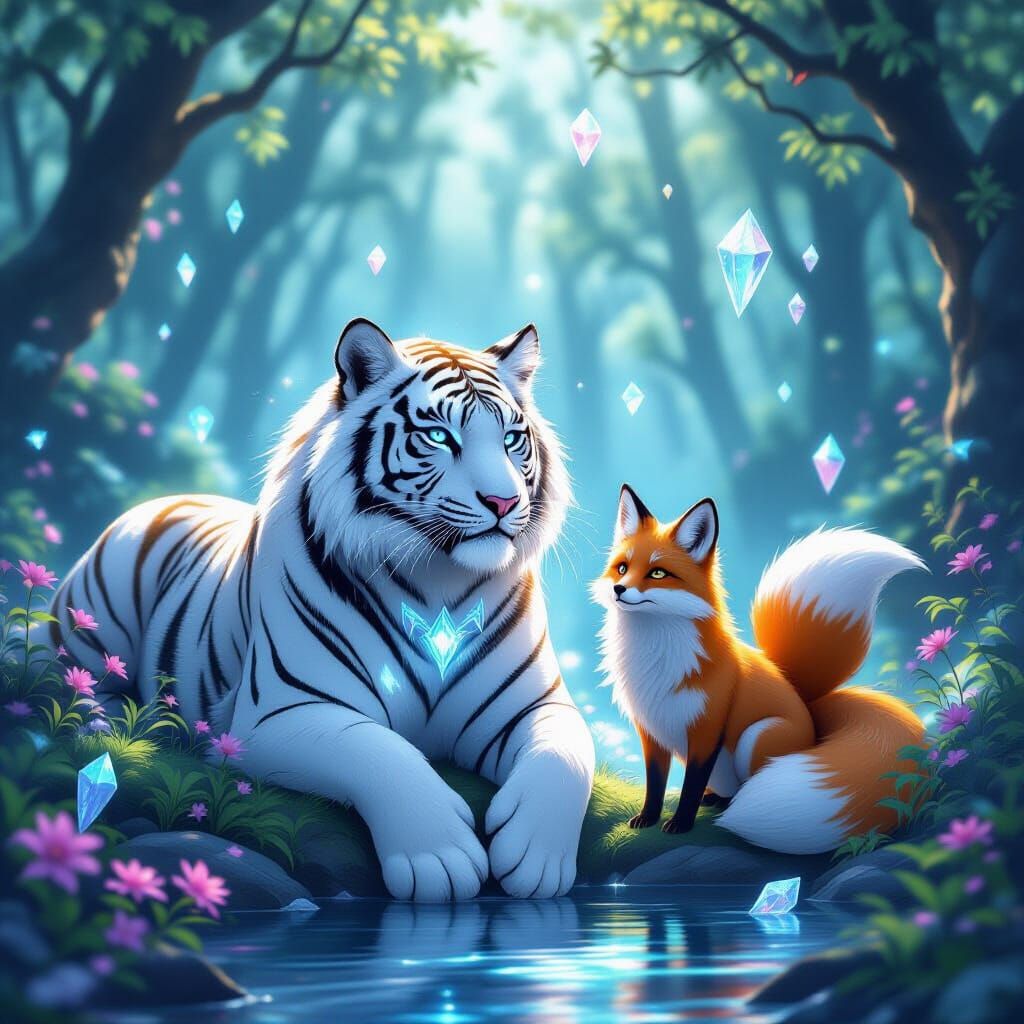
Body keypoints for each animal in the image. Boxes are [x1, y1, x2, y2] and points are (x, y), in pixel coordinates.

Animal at [54, 318, 595, 902]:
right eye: (438, 437)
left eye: (512, 439)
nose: (503, 502)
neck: (439, 582)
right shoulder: (283, 713)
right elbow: (377, 750)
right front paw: (437, 855)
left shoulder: (533, 705)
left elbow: (565, 753)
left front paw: (539, 857)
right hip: (91, 620)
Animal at [591, 484, 927, 855]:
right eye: (622, 568)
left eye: (658, 573)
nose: (619, 590)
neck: (654, 655)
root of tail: (809, 711)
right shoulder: (650, 729)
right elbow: (655, 782)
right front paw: (647, 819)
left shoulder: (707, 727)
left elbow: (692, 782)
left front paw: (680, 823)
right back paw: (716, 798)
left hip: (756, 736)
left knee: (749, 788)